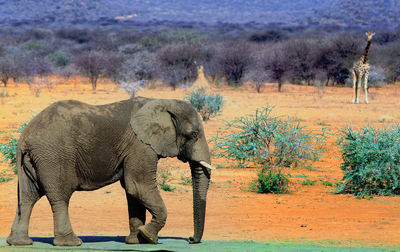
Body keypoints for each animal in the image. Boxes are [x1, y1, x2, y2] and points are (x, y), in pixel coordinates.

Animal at [6, 96, 214, 246]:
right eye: (193, 134)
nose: (191, 239)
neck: (163, 102)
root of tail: (25, 135)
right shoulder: (140, 145)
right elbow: (138, 186)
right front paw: (148, 237)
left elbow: (133, 192)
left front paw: (135, 241)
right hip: (53, 156)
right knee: (60, 196)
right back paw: (71, 243)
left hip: (32, 161)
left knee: (28, 196)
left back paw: (19, 243)